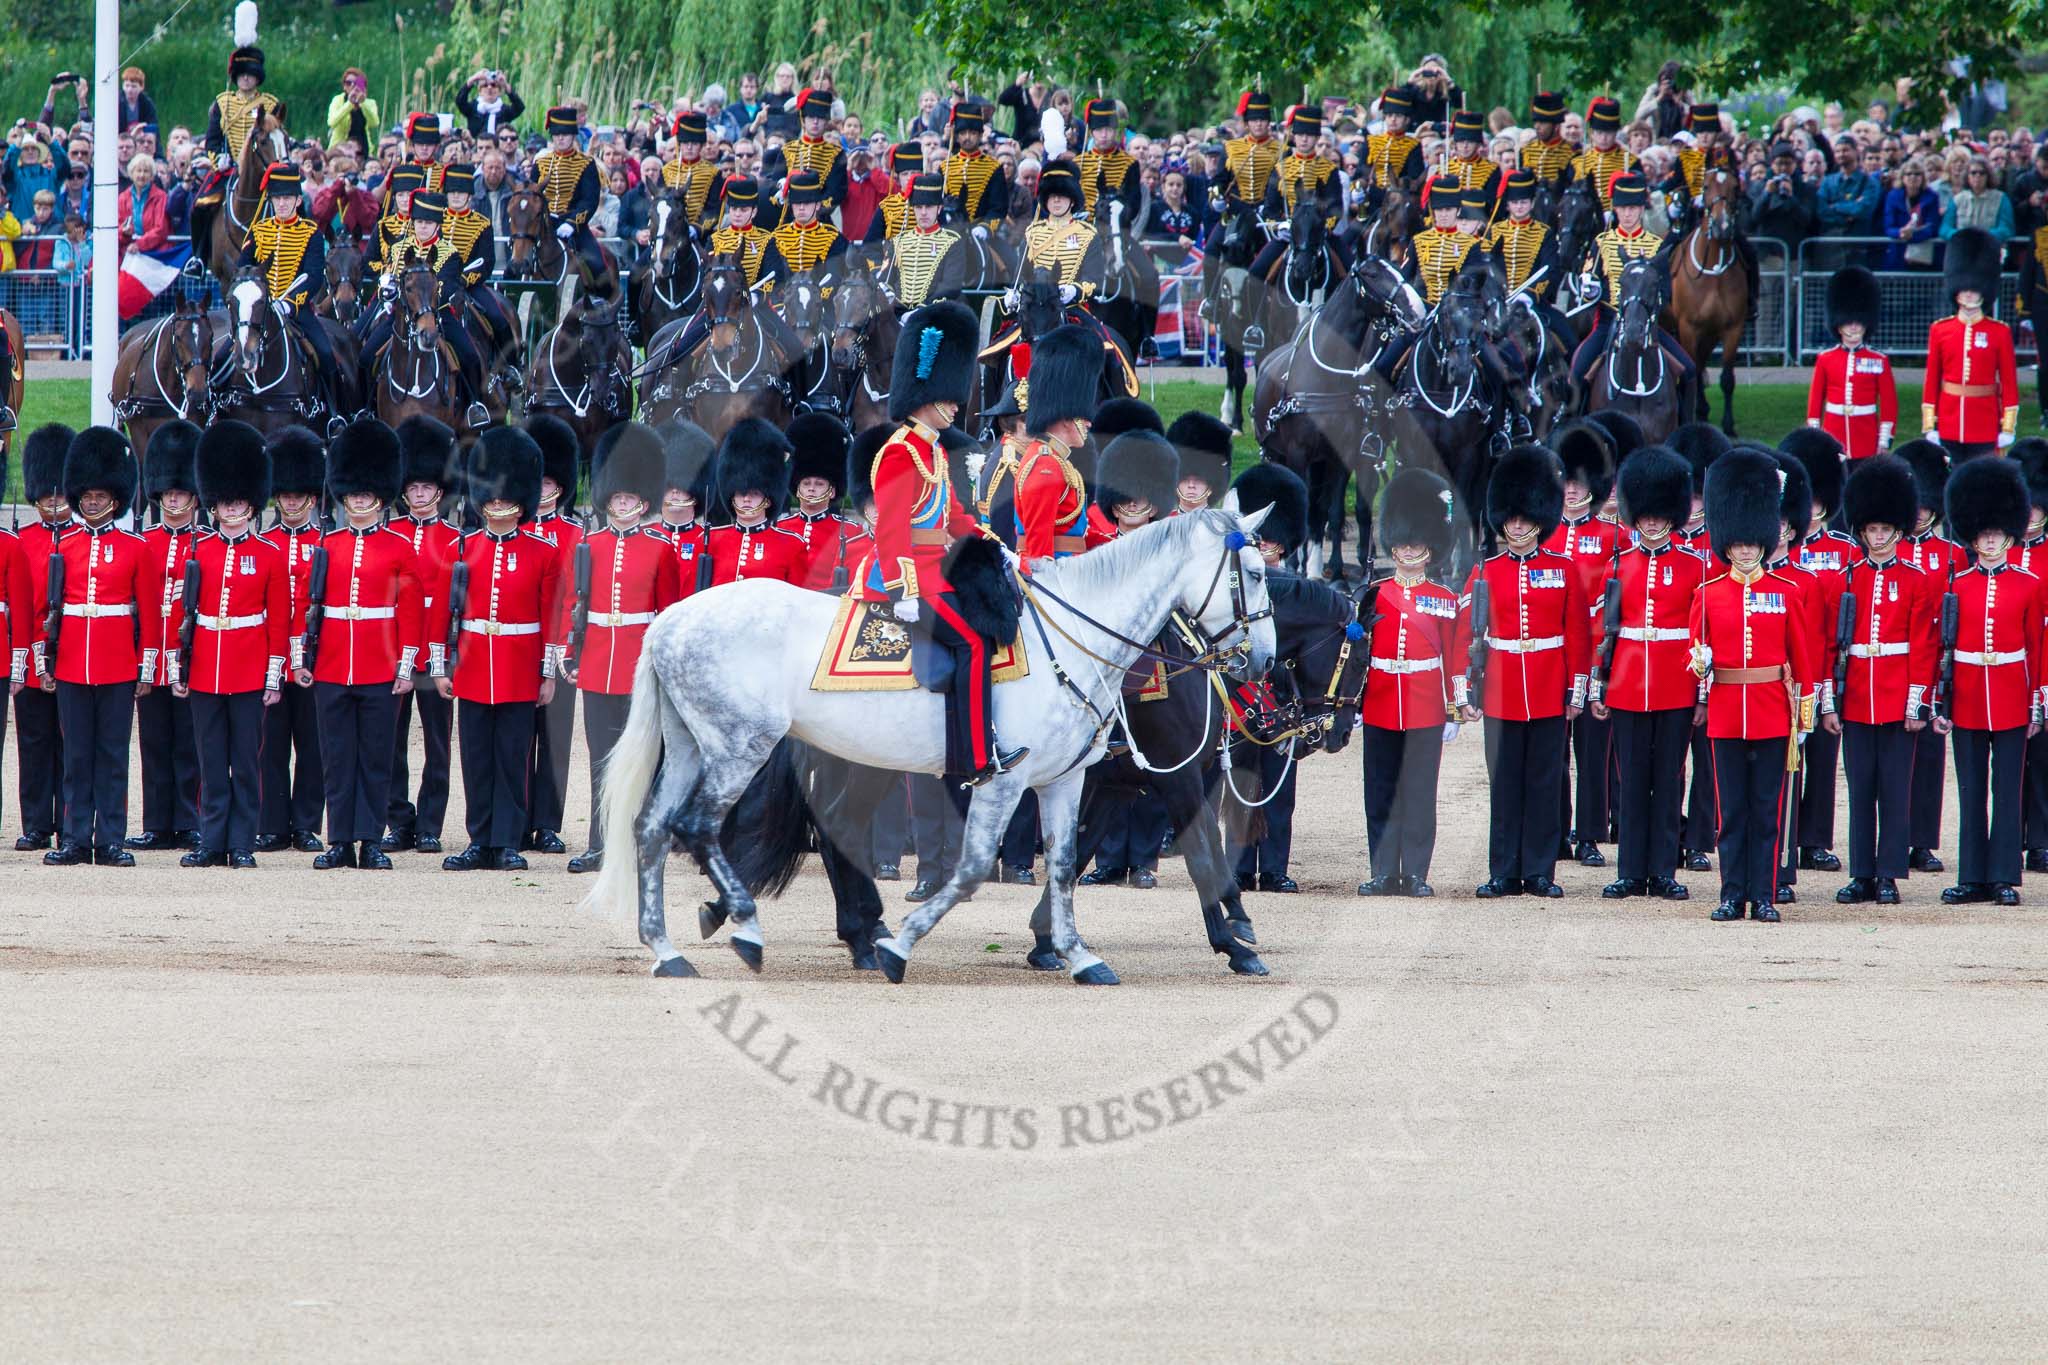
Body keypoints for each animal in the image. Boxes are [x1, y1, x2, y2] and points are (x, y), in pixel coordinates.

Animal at [585, 507, 1269, 986]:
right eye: (1258, 574)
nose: (1260, 661)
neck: (1077, 640)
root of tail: (671, 619)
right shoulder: (1008, 779)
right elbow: (972, 871)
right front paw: (901, 947)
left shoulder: (1065, 780)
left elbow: (1064, 864)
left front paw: (1077, 955)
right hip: (738, 747)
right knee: (697, 826)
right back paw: (751, 925)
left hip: (699, 747)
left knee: (653, 828)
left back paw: (669, 950)